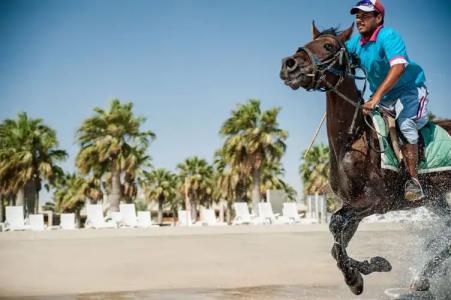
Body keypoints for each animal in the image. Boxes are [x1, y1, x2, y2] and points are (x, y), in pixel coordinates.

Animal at [280, 22, 450, 296]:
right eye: (308, 41)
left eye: (328, 46)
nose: (289, 64)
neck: (351, 140)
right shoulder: (354, 205)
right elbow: (335, 243)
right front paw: (369, 269)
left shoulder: (375, 202)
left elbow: (335, 224)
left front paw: (356, 276)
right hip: (435, 199)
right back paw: (422, 279)